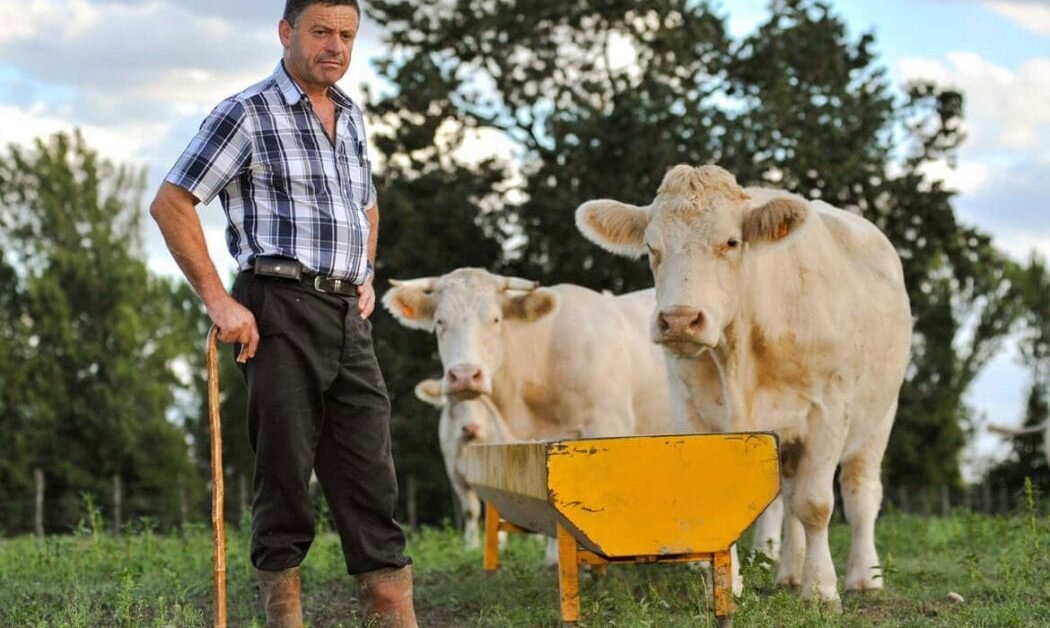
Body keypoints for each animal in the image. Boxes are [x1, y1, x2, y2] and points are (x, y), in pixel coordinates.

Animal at [575, 164, 912, 610]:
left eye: (731, 242)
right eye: (651, 247)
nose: (679, 320)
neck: (739, 358)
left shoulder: (829, 410)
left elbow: (817, 504)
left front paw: (822, 590)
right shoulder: (693, 413)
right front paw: (725, 587)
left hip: (880, 416)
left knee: (860, 494)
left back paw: (864, 577)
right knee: (790, 497)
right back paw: (789, 573)